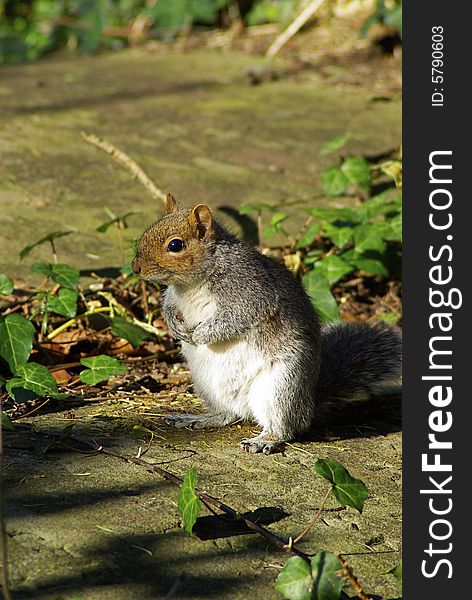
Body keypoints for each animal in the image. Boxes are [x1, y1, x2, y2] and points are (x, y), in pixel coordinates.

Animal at [133, 197, 402, 454]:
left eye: (175, 245)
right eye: (147, 231)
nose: (136, 268)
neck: (190, 284)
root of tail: (309, 402)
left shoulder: (252, 294)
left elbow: (235, 319)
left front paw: (201, 334)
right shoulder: (175, 295)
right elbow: (169, 304)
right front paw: (173, 324)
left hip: (281, 387)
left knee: (286, 427)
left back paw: (266, 440)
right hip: (205, 383)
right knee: (228, 414)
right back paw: (199, 419)